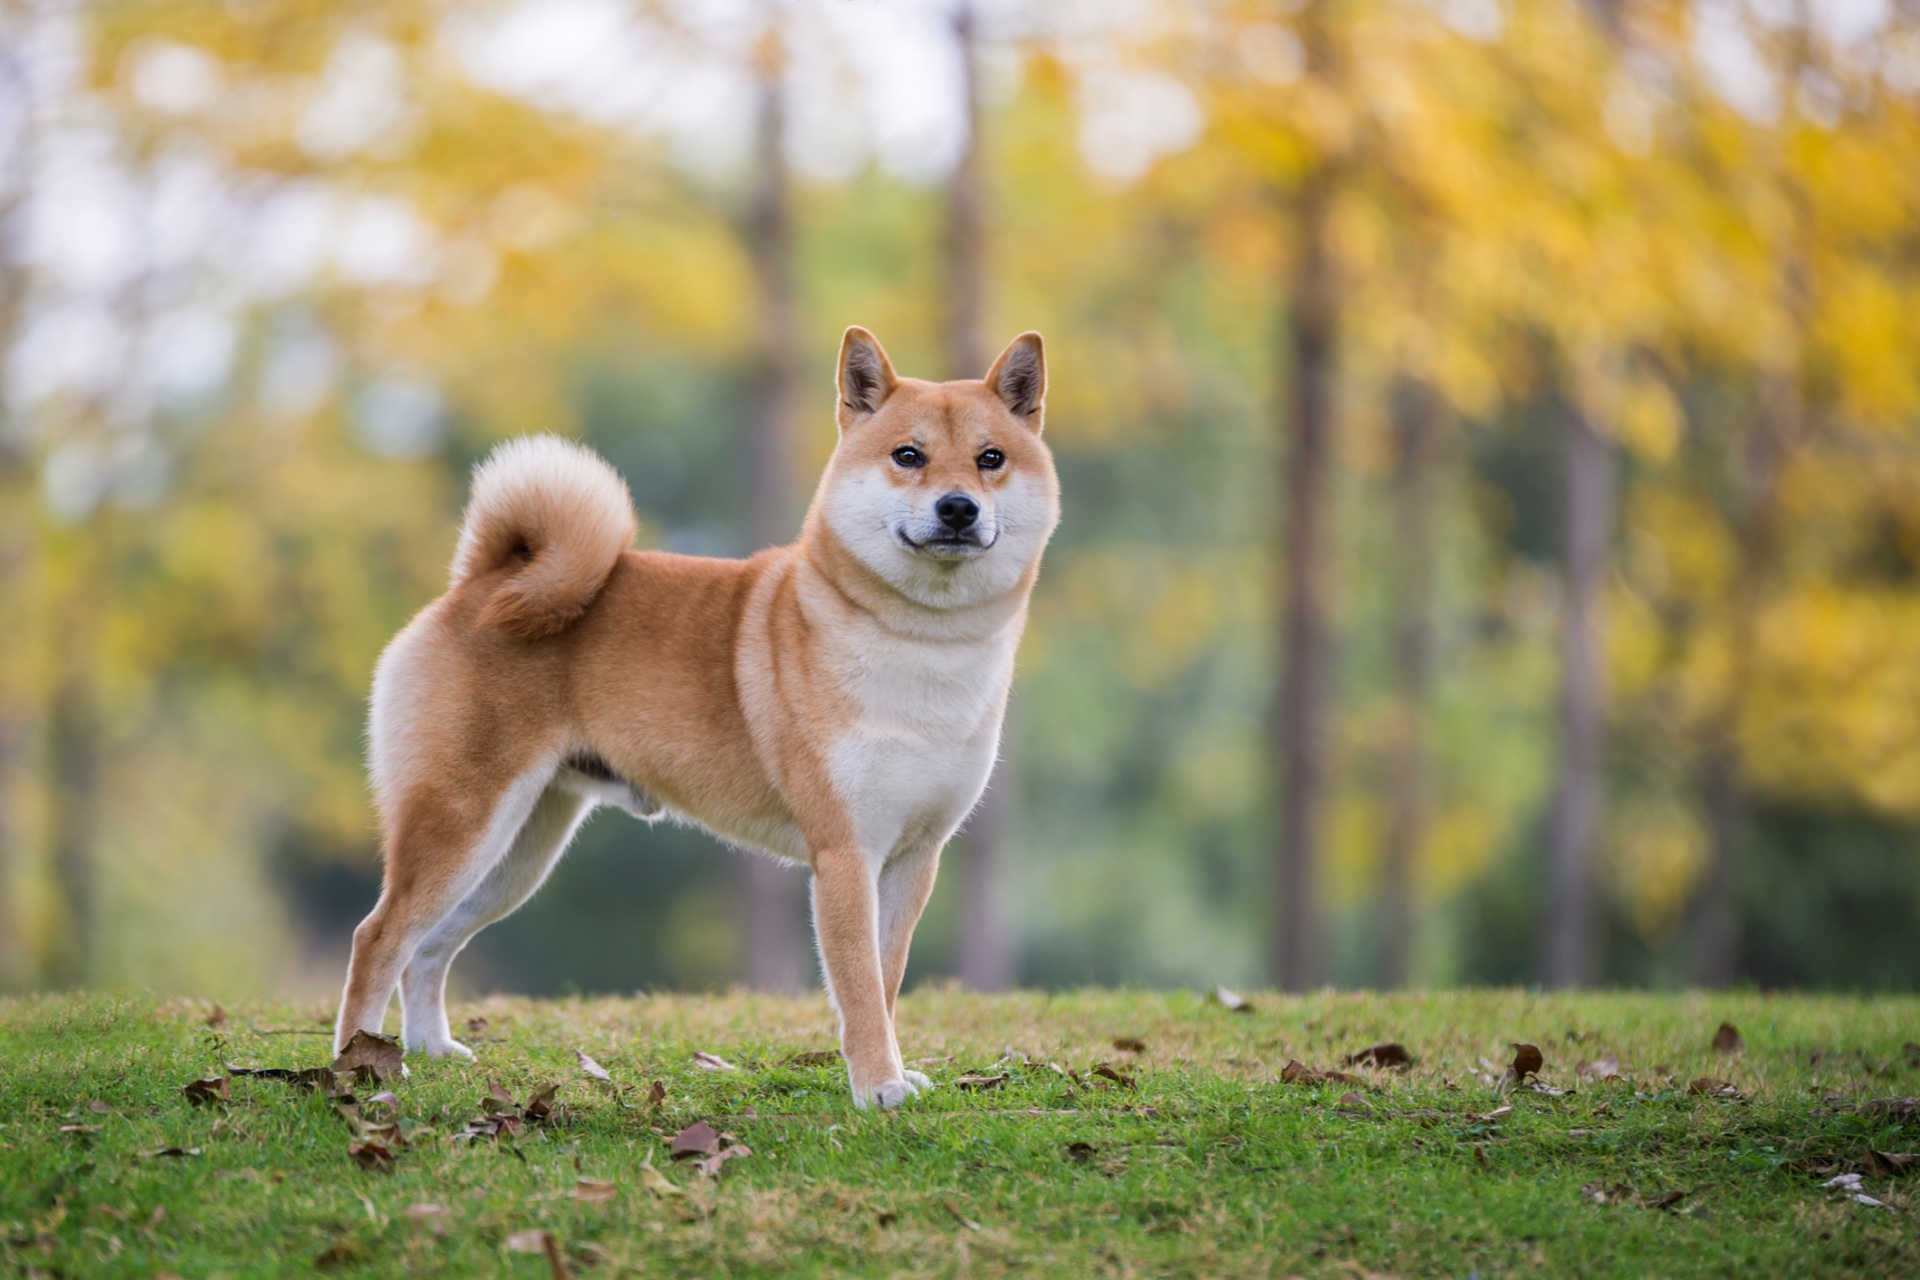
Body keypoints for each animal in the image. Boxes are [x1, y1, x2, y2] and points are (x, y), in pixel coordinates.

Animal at [330, 328, 1052, 1113]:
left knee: (428, 947)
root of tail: (482, 583)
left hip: (517, 854)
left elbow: (886, 983)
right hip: (462, 823)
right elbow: (860, 988)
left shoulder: (914, 856)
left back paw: (430, 1048)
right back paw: (358, 1068)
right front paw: (877, 1087)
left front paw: (891, 1072)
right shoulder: (844, 854)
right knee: (379, 936)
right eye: (908, 455)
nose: (957, 508)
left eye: (990, 459)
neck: (921, 646)